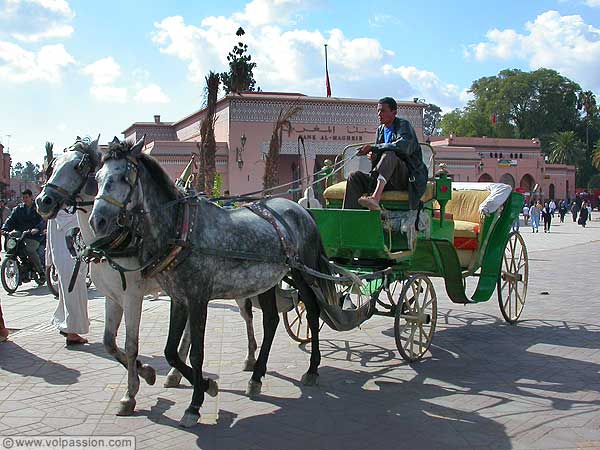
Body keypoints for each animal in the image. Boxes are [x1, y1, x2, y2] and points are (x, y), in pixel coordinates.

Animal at [89, 139, 336, 428]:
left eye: (123, 177)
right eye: (97, 177)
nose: (97, 221)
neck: (181, 229)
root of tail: (301, 209)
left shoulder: (198, 299)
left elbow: (196, 352)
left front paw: (194, 404)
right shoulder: (178, 298)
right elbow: (170, 350)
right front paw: (206, 385)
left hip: (302, 272)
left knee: (312, 310)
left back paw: (312, 368)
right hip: (268, 280)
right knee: (271, 321)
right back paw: (256, 377)